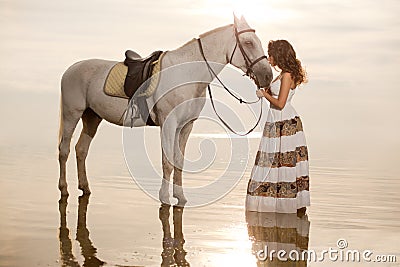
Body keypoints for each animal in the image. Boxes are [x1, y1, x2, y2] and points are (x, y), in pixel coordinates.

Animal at [58, 15, 272, 206]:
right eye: (248, 42)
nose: (267, 75)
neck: (186, 74)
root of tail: (71, 69)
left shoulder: (185, 126)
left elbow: (178, 161)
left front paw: (180, 196)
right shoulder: (169, 124)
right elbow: (167, 162)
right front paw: (165, 197)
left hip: (92, 117)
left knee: (81, 150)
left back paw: (85, 187)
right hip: (72, 114)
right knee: (64, 150)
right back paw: (64, 189)